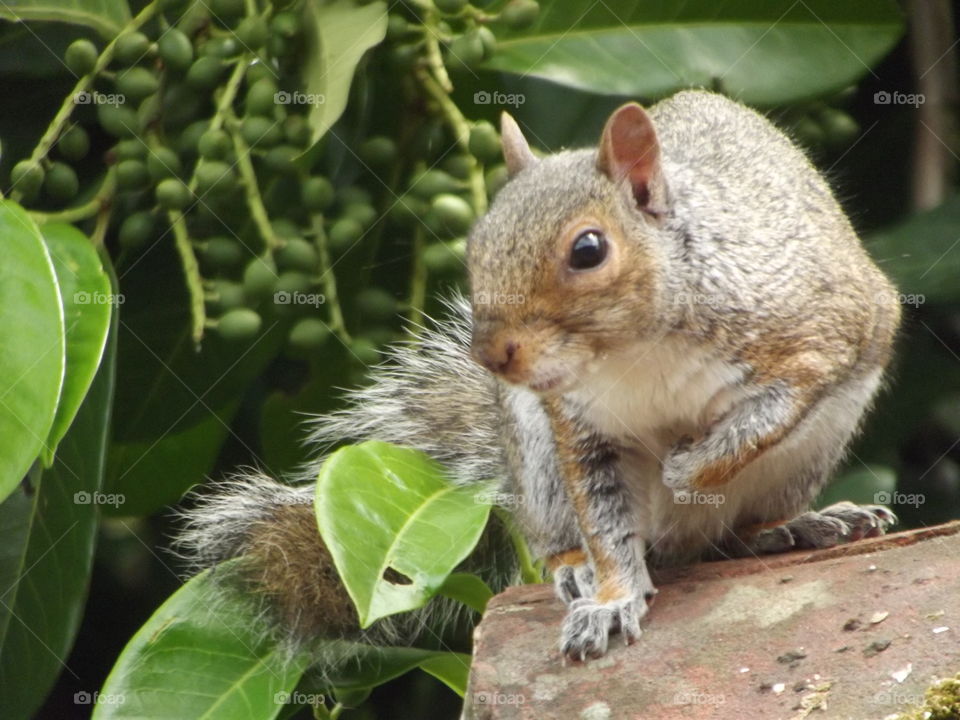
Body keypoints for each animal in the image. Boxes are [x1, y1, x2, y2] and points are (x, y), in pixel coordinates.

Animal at [178, 90, 900, 664]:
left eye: (589, 249)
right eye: (476, 243)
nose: (490, 354)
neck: (633, 349)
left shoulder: (820, 335)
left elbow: (762, 419)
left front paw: (686, 468)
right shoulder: (576, 425)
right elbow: (607, 520)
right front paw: (611, 597)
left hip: (811, 450)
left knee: (730, 532)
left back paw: (796, 525)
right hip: (537, 462)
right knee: (569, 538)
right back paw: (577, 569)